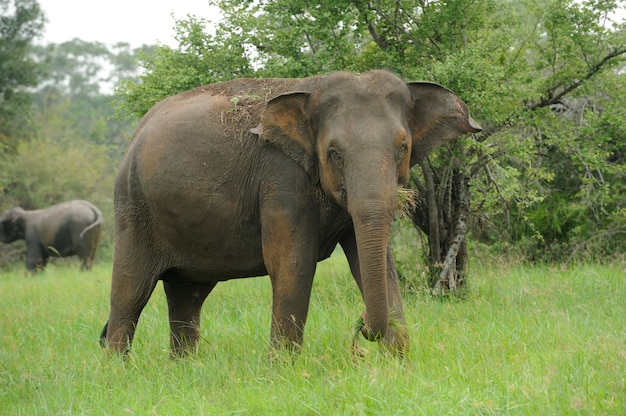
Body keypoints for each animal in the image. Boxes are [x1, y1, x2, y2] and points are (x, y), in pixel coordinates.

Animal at [100, 70, 480, 358]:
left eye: (402, 148)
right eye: (334, 153)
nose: (361, 328)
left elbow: (375, 262)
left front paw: (399, 364)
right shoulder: (282, 177)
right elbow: (292, 262)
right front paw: (283, 371)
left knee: (187, 296)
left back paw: (185, 369)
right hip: (134, 210)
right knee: (130, 294)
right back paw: (119, 373)